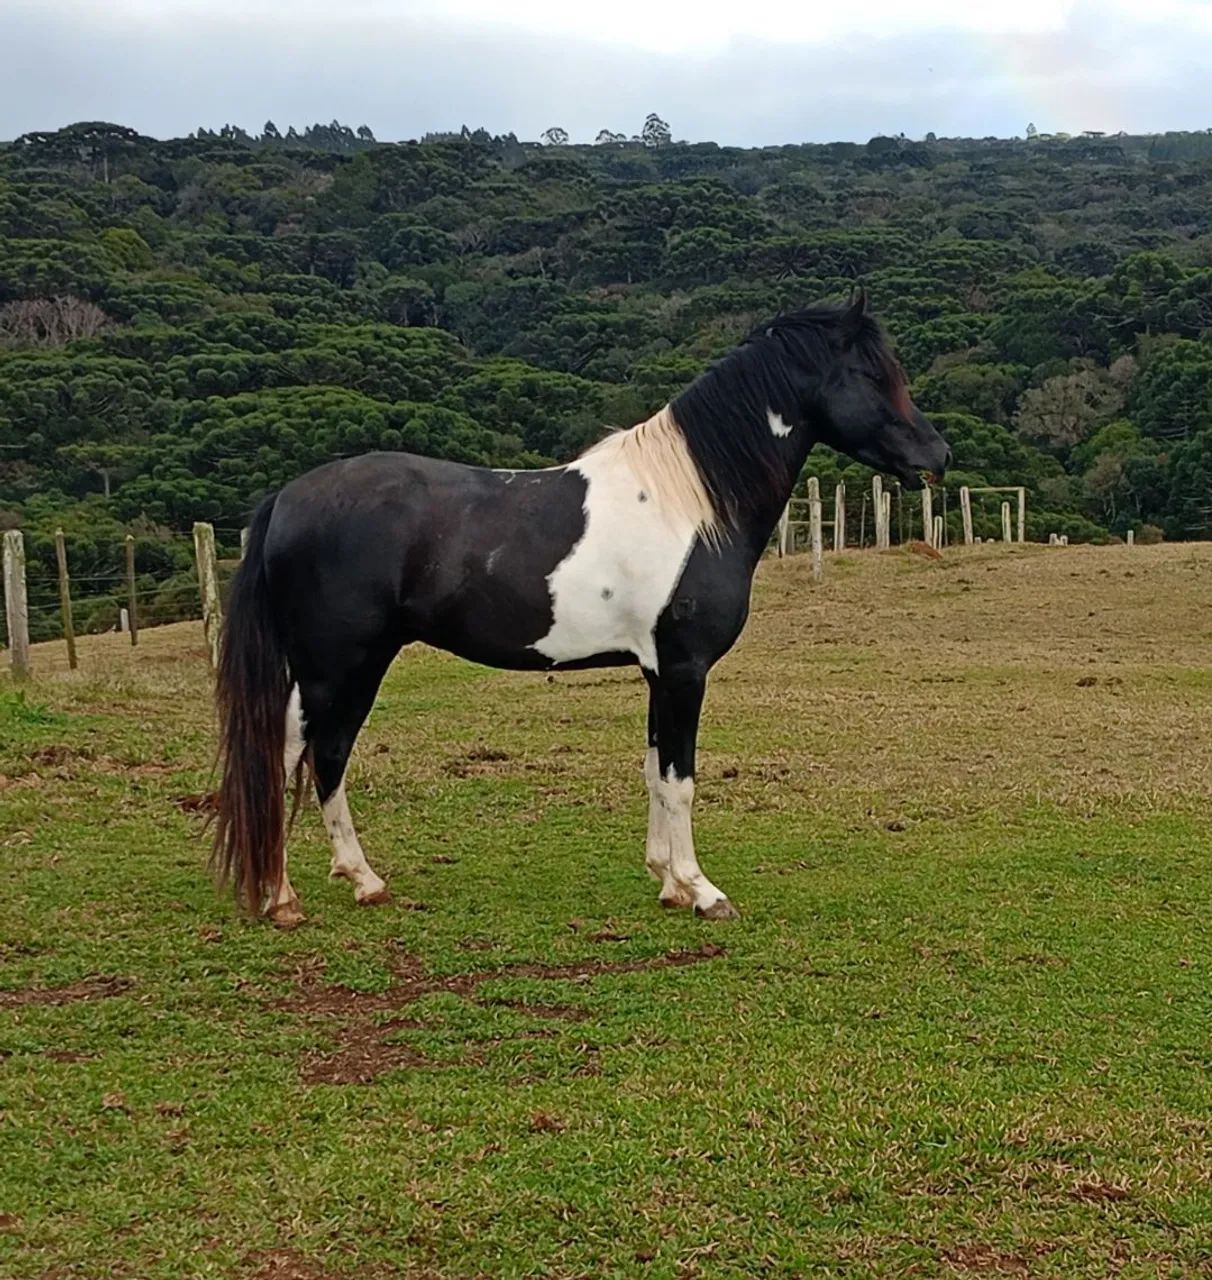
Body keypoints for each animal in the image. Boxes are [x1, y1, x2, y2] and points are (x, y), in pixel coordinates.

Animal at [212, 292, 949, 928]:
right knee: (298, 755)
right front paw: (704, 891)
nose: (937, 454)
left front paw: (668, 883)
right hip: (335, 667)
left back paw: (361, 882)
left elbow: (655, 771)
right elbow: (681, 779)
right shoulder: (685, 669)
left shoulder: (658, 671)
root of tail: (287, 498)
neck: (689, 503)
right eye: (873, 374)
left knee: (323, 756)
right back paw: (287, 896)